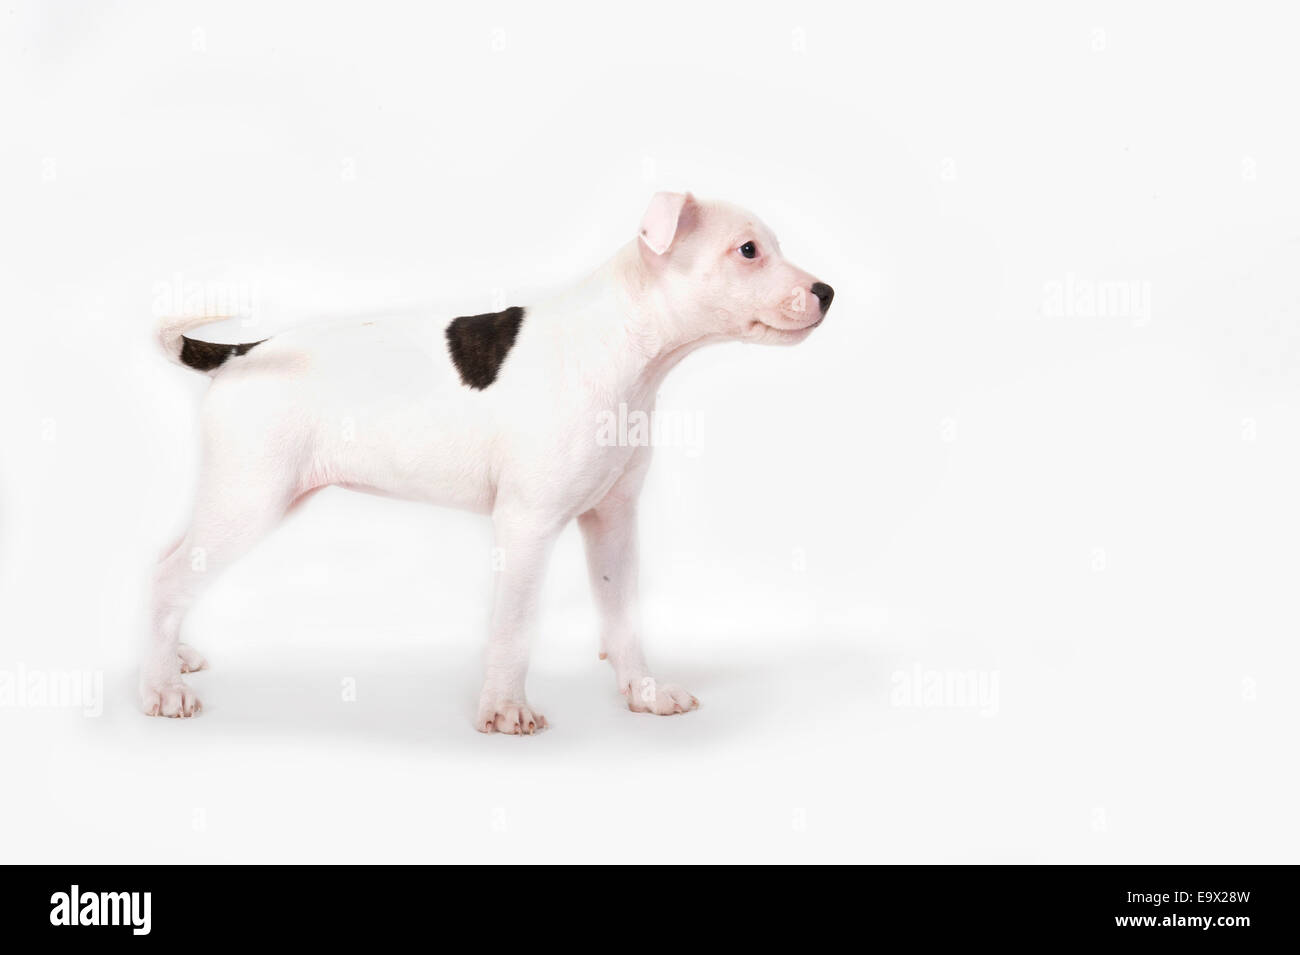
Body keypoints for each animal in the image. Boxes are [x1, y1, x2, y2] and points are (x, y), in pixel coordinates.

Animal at [142, 192, 832, 732]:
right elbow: (515, 623)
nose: (826, 291)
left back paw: (171, 657)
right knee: (170, 576)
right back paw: (162, 689)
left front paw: (644, 693)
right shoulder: (527, 524)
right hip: (249, 499)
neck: (623, 344)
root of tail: (245, 352)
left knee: (166, 564)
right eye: (748, 251)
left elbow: (624, 615)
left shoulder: (611, 519)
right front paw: (505, 710)